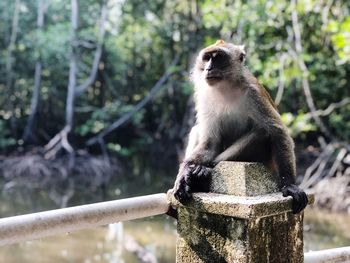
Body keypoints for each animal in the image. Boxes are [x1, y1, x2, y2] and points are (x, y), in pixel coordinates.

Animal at [171, 40, 308, 214]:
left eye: (218, 57)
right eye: (207, 58)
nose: (208, 68)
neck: (225, 88)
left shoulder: (253, 94)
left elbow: (277, 131)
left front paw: (290, 185)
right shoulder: (205, 97)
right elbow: (209, 143)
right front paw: (184, 174)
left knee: (262, 132)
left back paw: (203, 174)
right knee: (197, 130)